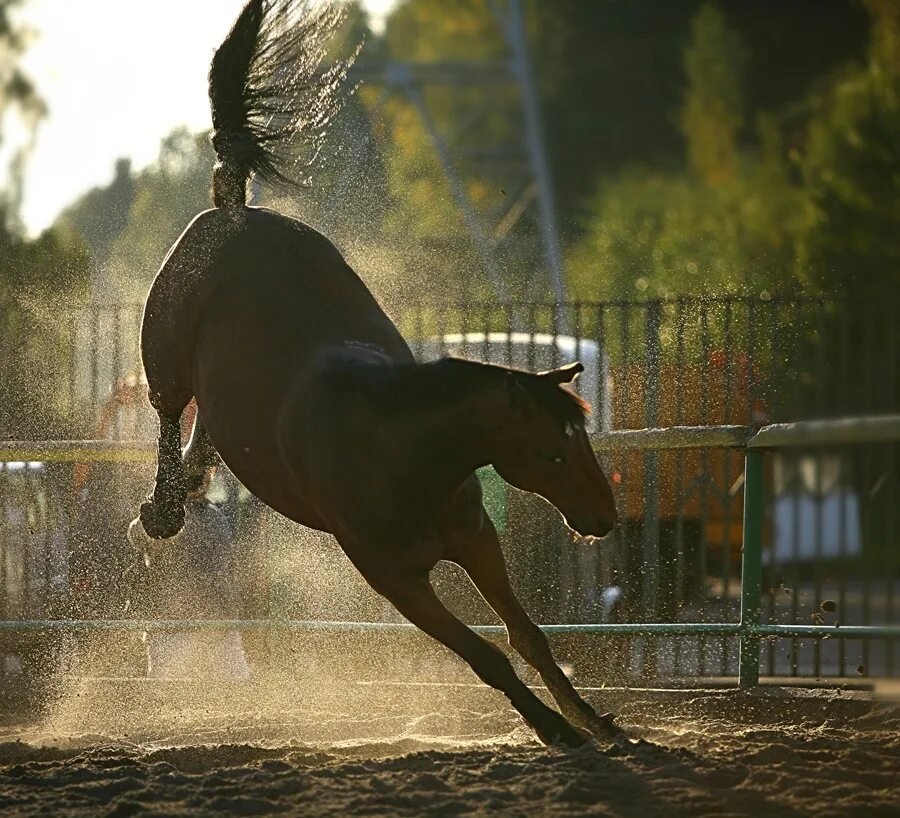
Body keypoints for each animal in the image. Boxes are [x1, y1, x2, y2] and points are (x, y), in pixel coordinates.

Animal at [139, 0, 620, 744]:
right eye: (550, 452)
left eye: (583, 440)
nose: (603, 515)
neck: (404, 444)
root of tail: (231, 208)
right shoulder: (394, 578)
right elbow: (485, 655)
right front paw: (555, 728)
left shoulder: (476, 540)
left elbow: (529, 636)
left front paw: (592, 719)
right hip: (162, 350)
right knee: (168, 411)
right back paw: (162, 508)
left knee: (207, 430)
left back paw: (188, 482)